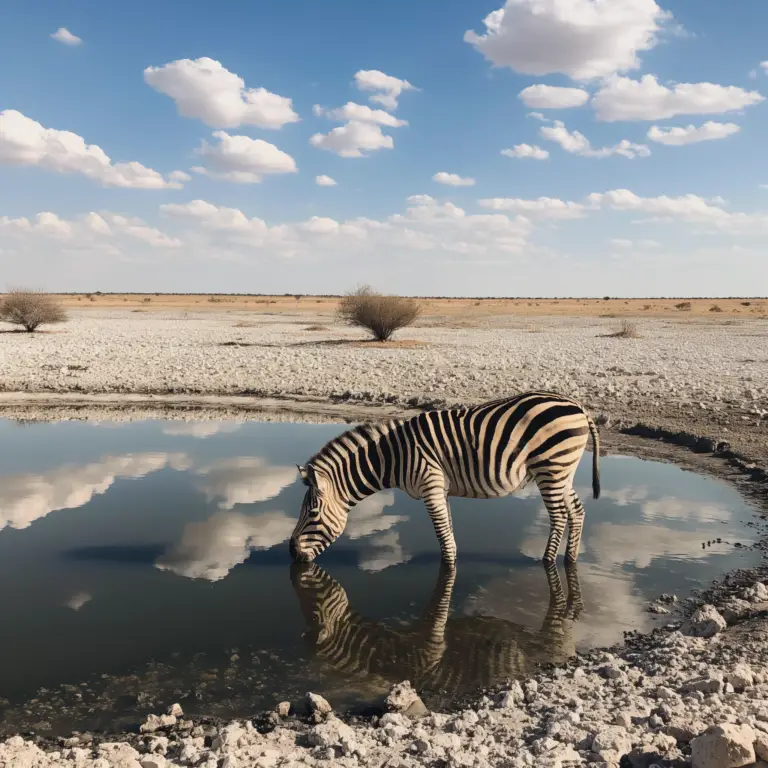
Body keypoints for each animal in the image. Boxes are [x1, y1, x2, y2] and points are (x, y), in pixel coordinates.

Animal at [288, 390, 600, 564]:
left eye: (312, 513)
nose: (292, 553)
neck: (395, 456)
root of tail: (579, 406)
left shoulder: (431, 485)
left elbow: (443, 537)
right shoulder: (441, 489)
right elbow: (449, 532)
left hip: (551, 468)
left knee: (559, 516)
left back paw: (547, 561)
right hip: (562, 472)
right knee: (577, 511)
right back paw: (570, 559)